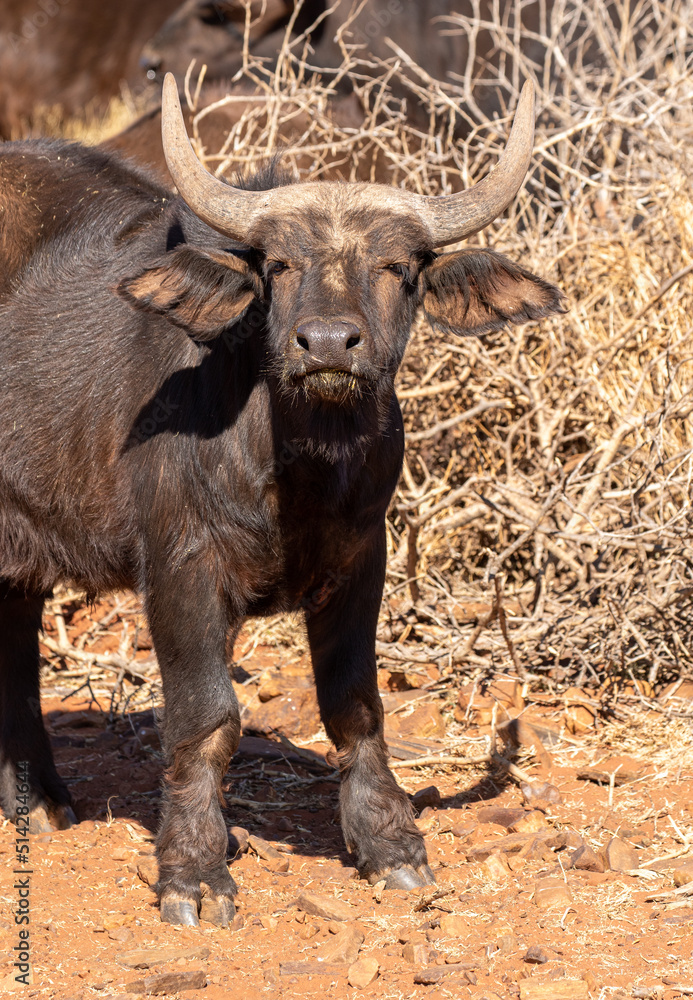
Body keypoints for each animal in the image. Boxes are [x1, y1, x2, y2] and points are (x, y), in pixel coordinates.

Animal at [0, 73, 563, 926]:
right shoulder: (182, 568)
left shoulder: (362, 560)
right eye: (279, 265)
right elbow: (206, 719)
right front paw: (195, 872)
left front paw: (388, 844)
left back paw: (36, 801)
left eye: (397, 265)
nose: (327, 343)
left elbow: (354, 707)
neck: (300, 470)